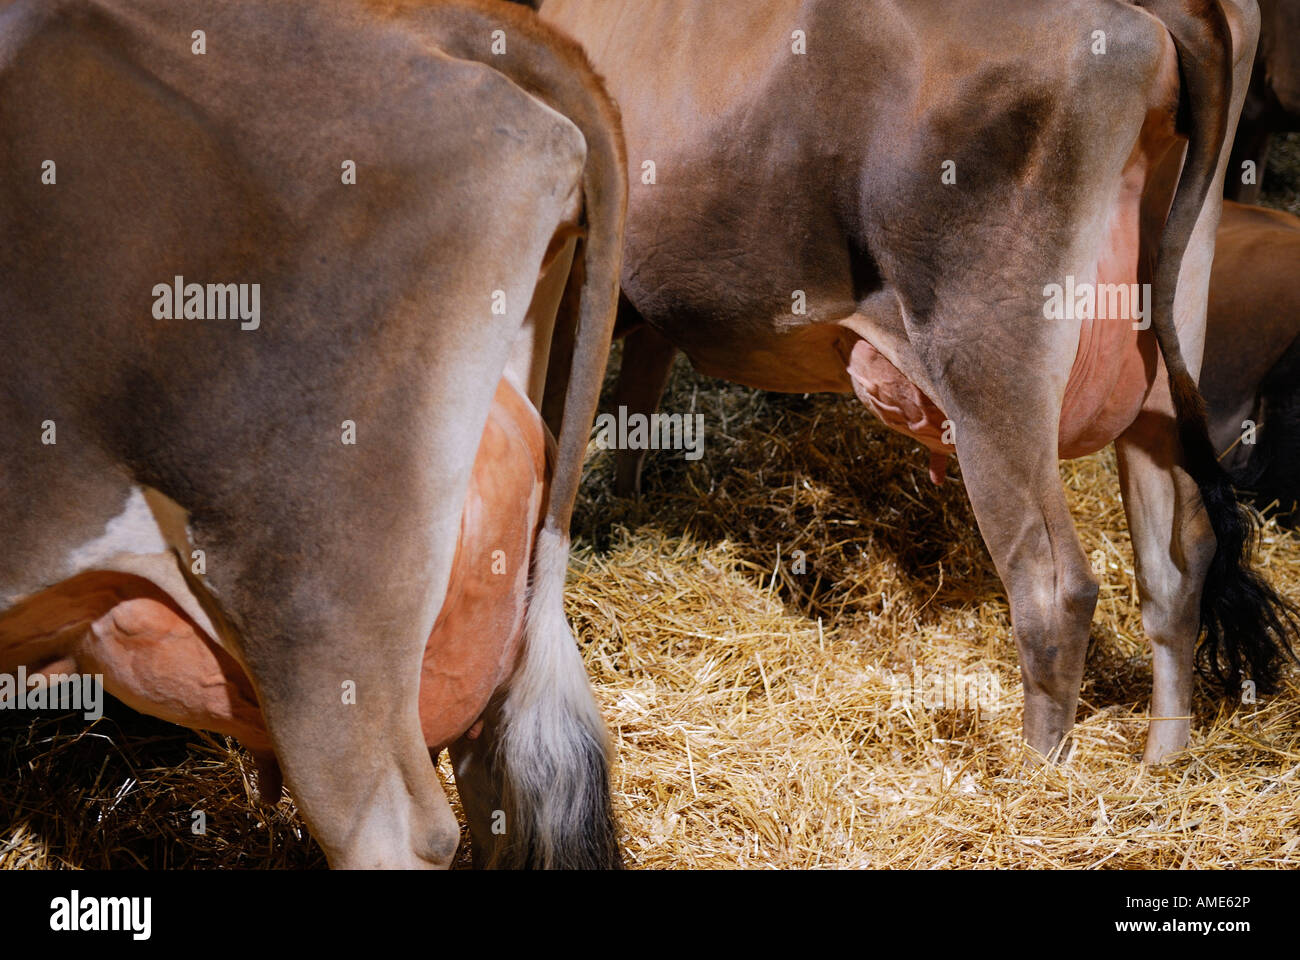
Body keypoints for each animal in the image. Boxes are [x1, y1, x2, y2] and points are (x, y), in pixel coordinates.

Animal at [543, 0, 1294, 764]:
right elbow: (635, 404)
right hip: (1167, 358)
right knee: (1177, 565)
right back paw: (1160, 762)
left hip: (990, 366)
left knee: (1055, 587)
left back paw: (1036, 773)